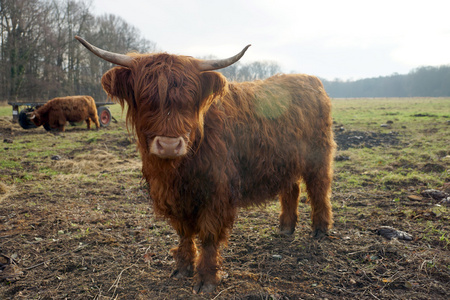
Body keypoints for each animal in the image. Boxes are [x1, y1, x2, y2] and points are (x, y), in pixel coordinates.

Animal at [75, 36, 336, 294]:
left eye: (190, 100)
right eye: (145, 98)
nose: (169, 145)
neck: (177, 170)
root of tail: (309, 79)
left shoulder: (217, 191)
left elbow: (209, 234)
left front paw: (207, 278)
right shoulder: (174, 195)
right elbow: (184, 232)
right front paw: (182, 267)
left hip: (319, 155)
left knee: (319, 189)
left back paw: (320, 229)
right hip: (285, 161)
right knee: (291, 188)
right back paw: (286, 227)